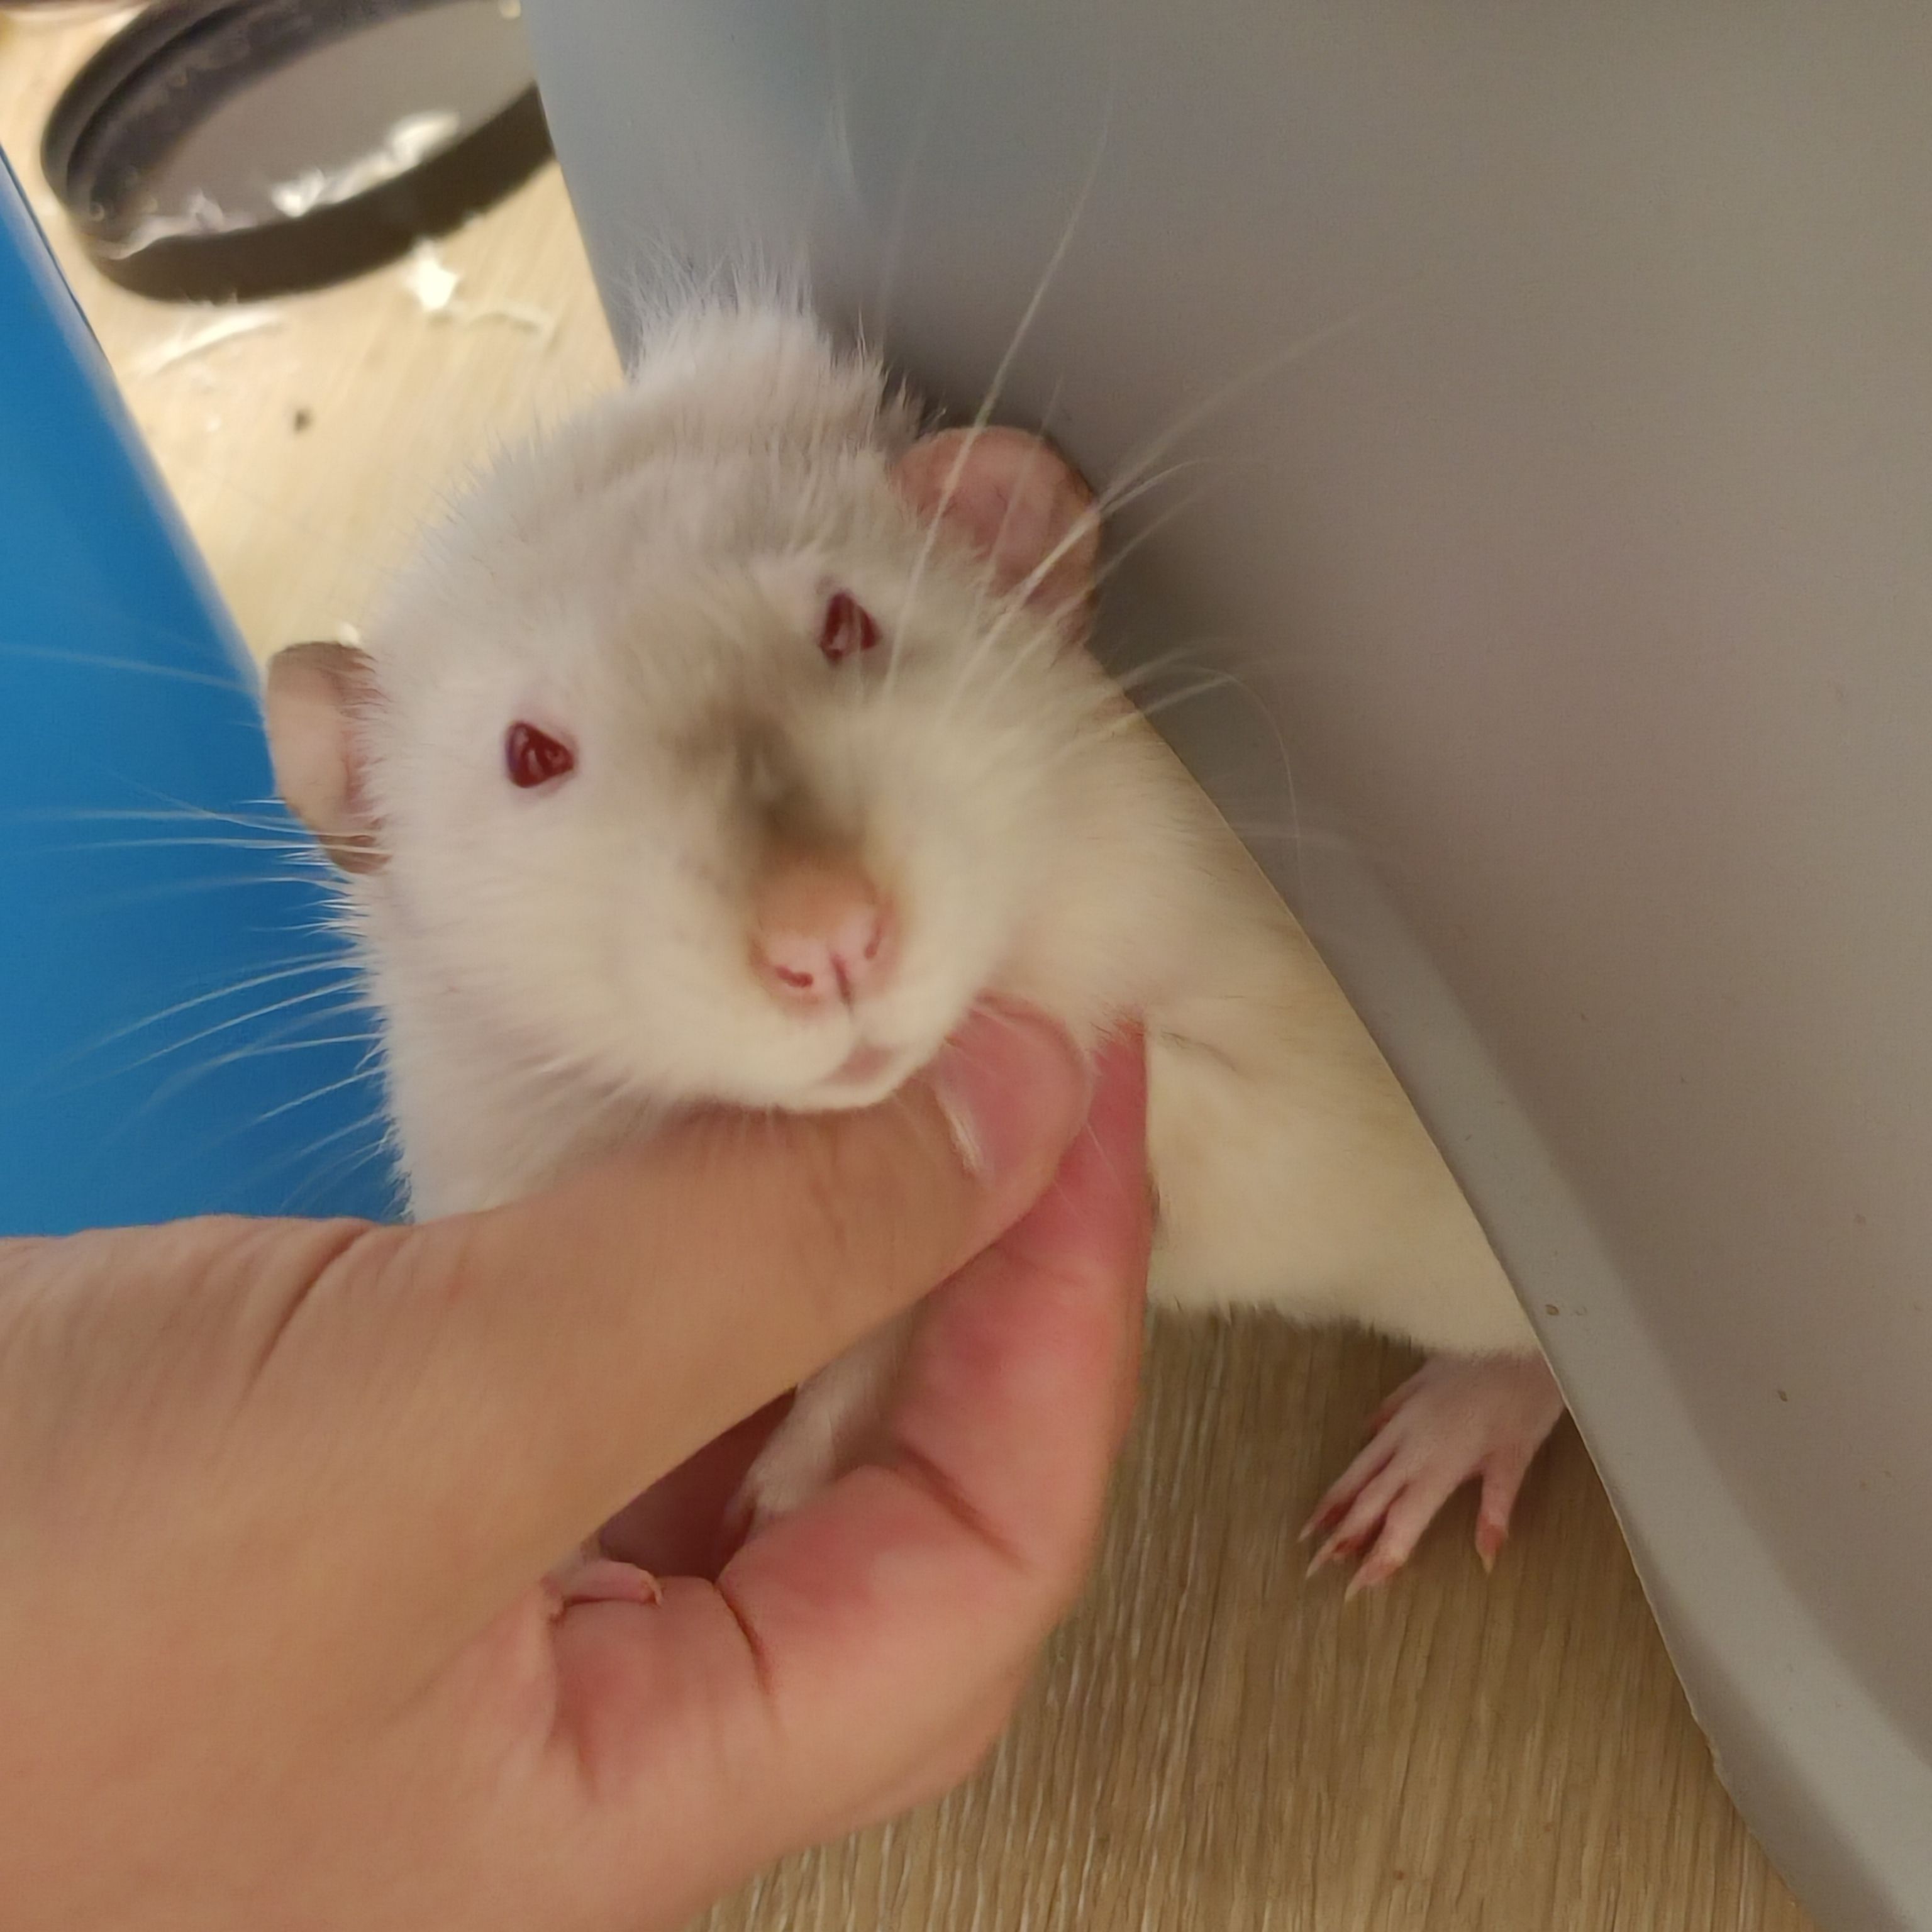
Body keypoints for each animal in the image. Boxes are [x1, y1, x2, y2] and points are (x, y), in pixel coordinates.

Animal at [263, 284, 1562, 1596]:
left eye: (848, 625)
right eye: (529, 754)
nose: (828, 935)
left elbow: (1222, 1127)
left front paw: (803, 1460)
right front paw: (573, 1565)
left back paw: (1476, 1411)